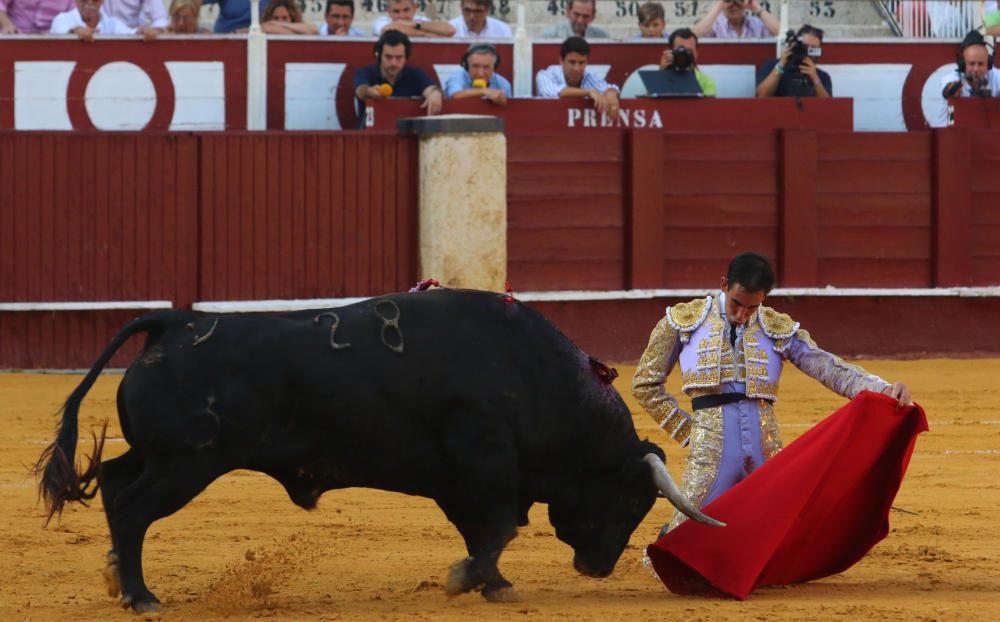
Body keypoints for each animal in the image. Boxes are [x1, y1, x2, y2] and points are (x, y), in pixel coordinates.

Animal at [35, 288, 716, 616]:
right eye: (629, 499)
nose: (596, 568)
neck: (537, 378)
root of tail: (174, 323)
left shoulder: (457, 480)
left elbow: (484, 531)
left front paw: (490, 583)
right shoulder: (484, 465)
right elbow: (497, 527)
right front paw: (471, 580)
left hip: (159, 455)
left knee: (115, 483)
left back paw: (119, 579)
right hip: (185, 463)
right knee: (131, 507)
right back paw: (142, 596)